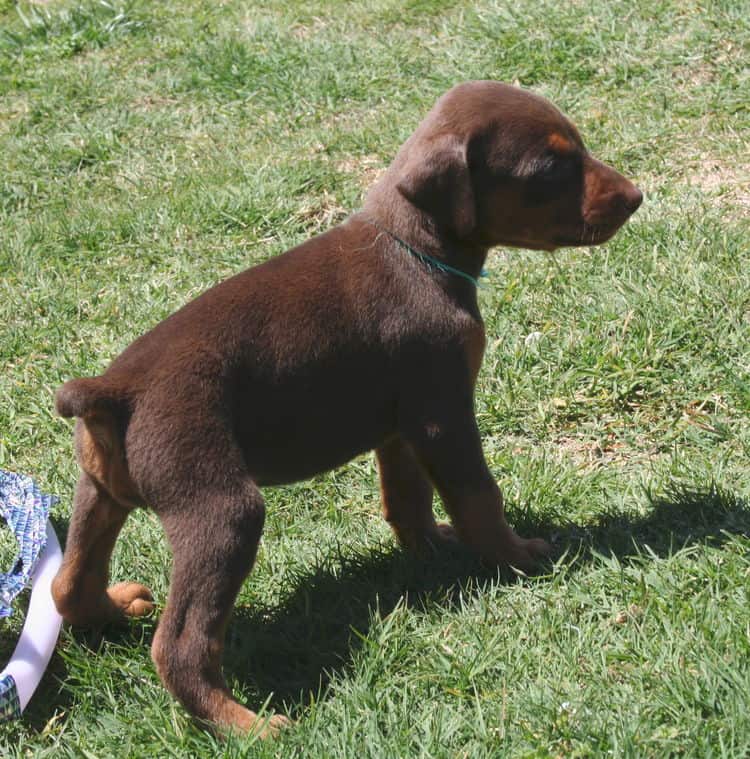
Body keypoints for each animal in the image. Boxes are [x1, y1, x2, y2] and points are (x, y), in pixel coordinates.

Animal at [50, 81, 644, 736]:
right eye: (549, 167)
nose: (637, 198)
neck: (415, 249)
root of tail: (113, 390)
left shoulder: (402, 425)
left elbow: (407, 498)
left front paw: (430, 548)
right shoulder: (443, 412)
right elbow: (478, 498)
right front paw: (514, 557)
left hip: (97, 490)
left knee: (66, 584)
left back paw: (114, 608)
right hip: (220, 508)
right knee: (177, 646)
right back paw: (247, 725)